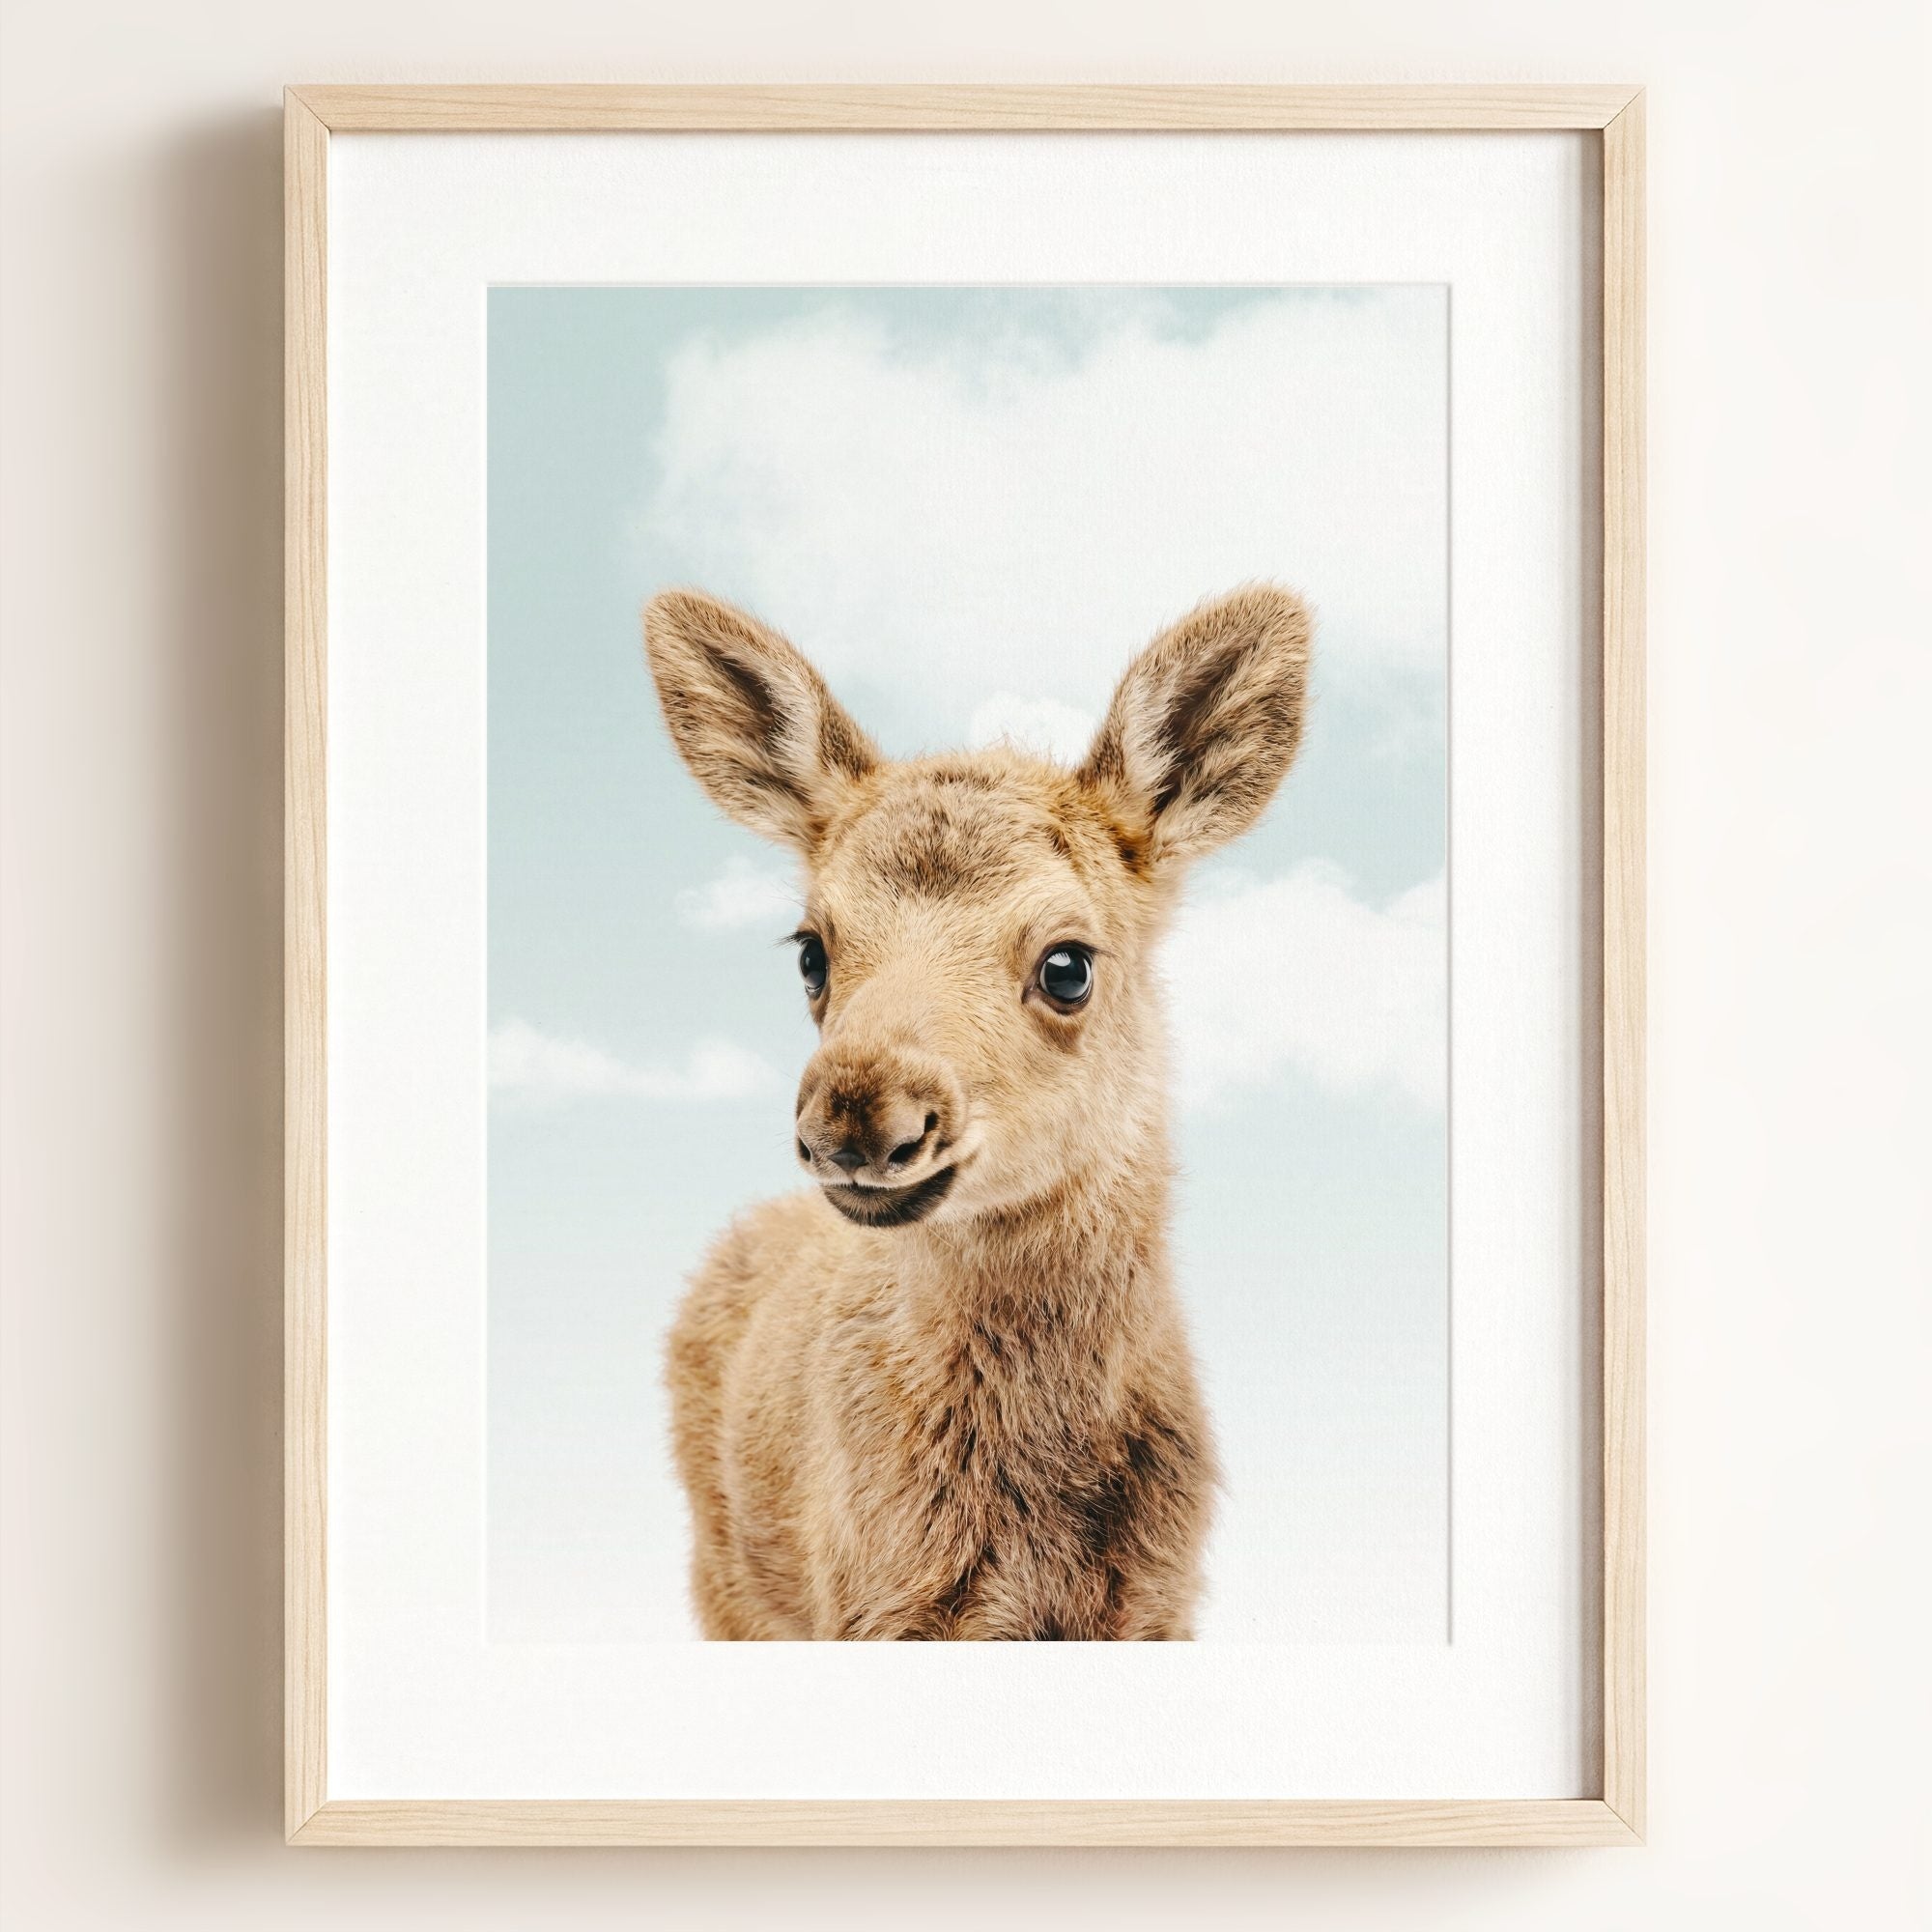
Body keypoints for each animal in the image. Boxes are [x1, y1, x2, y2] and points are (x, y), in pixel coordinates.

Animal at [644, 584, 1311, 1640]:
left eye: (1068, 964)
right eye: (811, 951)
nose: (858, 1116)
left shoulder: (1159, 1602)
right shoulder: (870, 1602)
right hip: (725, 1577)